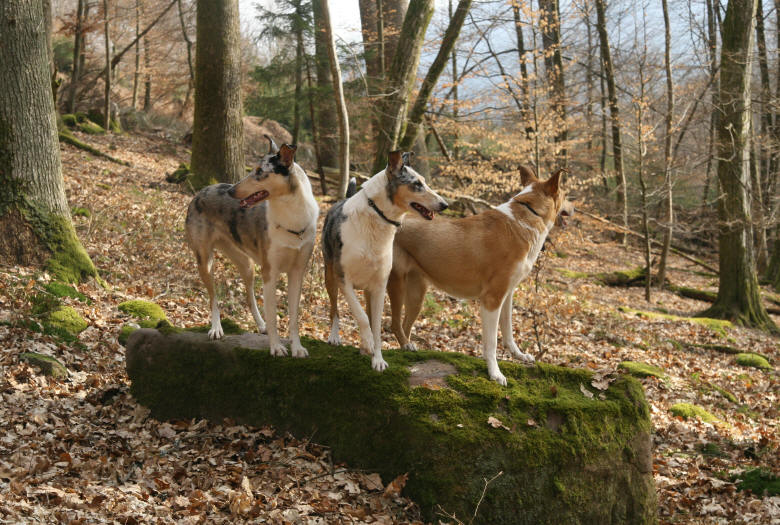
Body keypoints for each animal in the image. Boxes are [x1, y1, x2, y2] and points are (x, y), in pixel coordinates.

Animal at [185, 136, 319, 358]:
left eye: (259, 171)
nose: (231, 191)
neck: (292, 218)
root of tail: (202, 190)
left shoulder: (297, 272)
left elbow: (293, 317)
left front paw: (297, 348)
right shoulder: (270, 272)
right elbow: (273, 316)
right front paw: (276, 347)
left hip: (247, 265)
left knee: (250, 297)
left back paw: (260, 325)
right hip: (205, 261)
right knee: (213, 297)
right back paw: (216, 328)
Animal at [322, 151, 448, 371]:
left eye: (423, 182)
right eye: (416, 184)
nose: (445, 205)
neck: (376, 218)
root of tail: (340, 200)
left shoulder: (380, 285)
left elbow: (376, 325)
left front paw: (377, 359)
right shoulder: (343, 279)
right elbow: (362, 317)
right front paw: (368, 344)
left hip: (367, 289)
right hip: (330, 277)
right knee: (334, 309)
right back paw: (335, 336)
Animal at [387, 166, 573, 385]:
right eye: (565, 195)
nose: (574, 208)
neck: (526, 216)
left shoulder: (507, 295)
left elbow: (508, 331)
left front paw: (518, 355)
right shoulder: (492, 299)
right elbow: (491, 342)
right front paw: (495, 373)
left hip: (417, 294)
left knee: (405, 325)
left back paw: (408, 348)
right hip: (395, 283)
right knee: (393, 323)